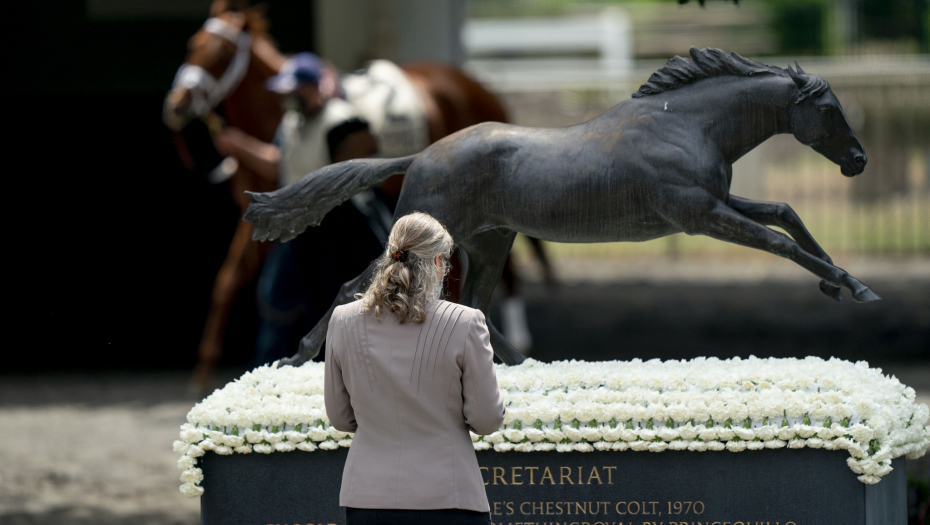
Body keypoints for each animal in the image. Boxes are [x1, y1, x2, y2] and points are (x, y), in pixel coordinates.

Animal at [165, 3, 508, 388]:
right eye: (194, 43)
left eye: (222, 52)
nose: (176, 106)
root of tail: (471, 82)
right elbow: (231, 281)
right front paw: (206, 367)